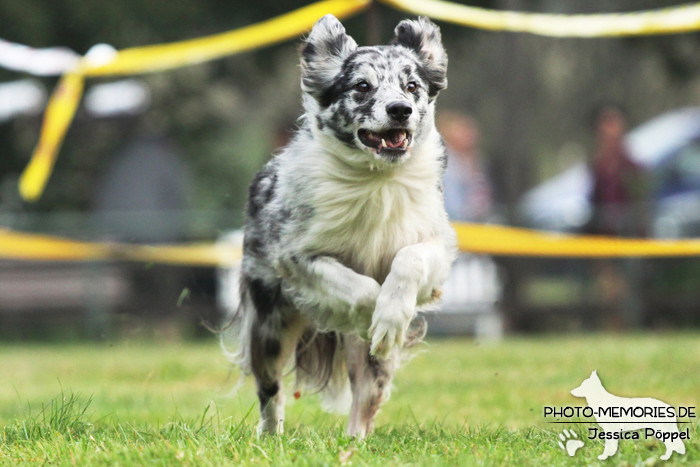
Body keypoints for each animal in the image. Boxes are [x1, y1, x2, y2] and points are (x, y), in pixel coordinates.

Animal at [221, 14, 456, 438]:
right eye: (362, 86)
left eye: (412, 86)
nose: (400, 109)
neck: (376, 180)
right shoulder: (297, 258)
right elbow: (361, 289)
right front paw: (371, 314)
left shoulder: (436, 245)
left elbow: (409, 261)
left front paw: (389, 317)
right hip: (269, 325)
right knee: (270, 389)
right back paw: (271, 435)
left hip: (372, 367)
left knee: (366, 394)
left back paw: (355, 439)